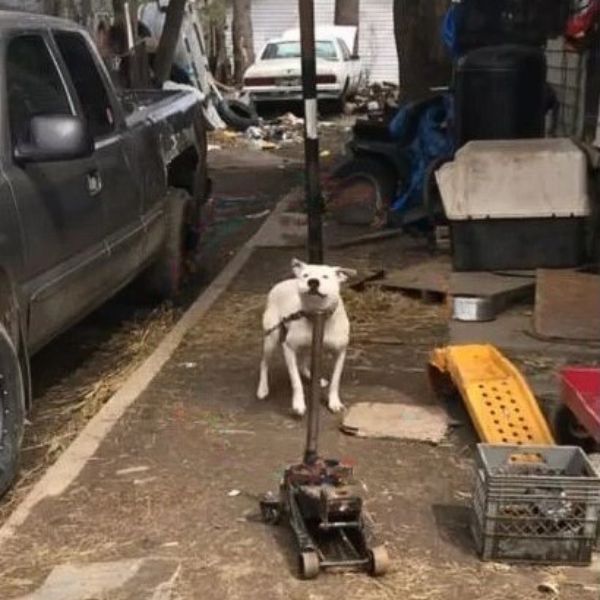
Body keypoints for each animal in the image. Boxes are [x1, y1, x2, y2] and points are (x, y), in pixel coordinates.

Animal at [255, 258, 354, 418]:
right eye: (305, 275)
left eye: (325, 277)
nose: (313, 281)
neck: (317, 316)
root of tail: (283, 282)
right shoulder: (288, 348)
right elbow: (296, 382)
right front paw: (298, 405)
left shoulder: (340, 352)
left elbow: (335, 381)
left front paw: (334, 403)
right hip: (271, 338)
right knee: (264, 363)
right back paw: (263, 389)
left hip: (308, 346)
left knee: (302, 363)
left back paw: (314, 377)